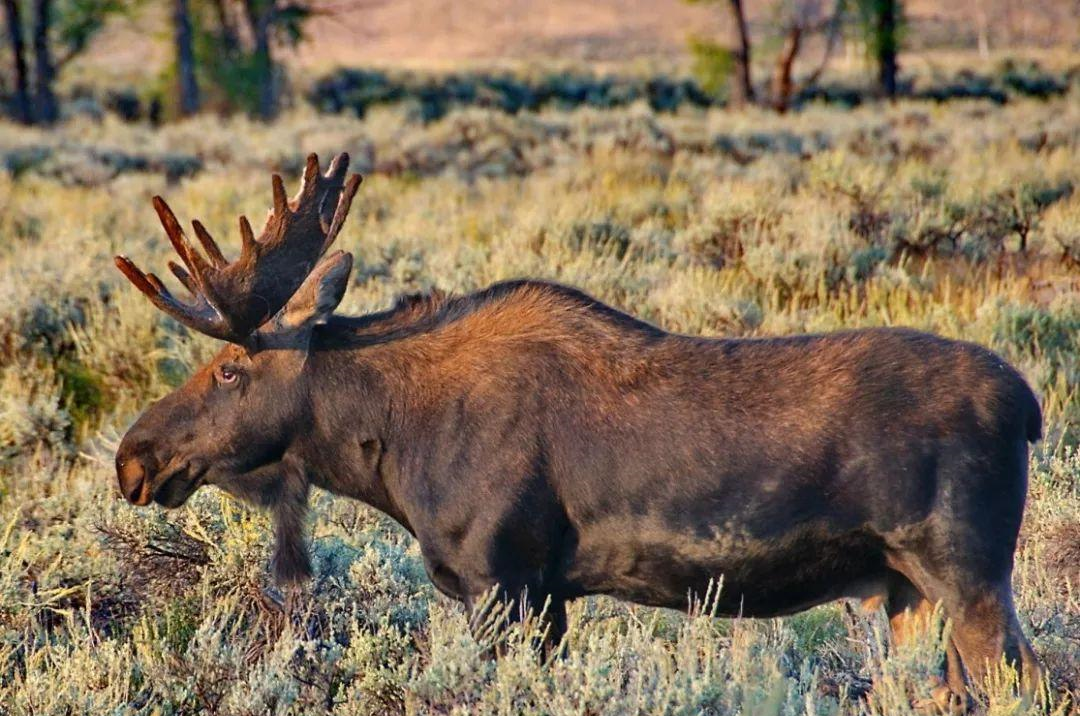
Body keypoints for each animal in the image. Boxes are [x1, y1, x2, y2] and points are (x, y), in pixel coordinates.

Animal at [118, 152, 1045, 704]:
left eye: (228, 369)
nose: (134, 456)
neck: (389, 449)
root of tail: (1029, 408)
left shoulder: (502, 579)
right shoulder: (550, 593)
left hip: (965, 572)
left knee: (1027, 680)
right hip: (906, 589)